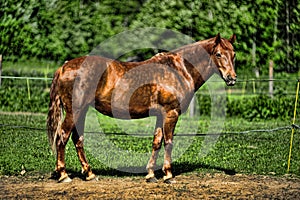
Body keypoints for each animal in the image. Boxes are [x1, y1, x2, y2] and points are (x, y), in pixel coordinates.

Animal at [47, 32, 237, 183]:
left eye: (234, 54)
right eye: (219, 54)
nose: (232, 78)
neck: (179, 69)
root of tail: (64, 66)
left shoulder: (161, 115)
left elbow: (156, 142)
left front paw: (151, 174)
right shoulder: (171, 113)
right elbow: (169, 142)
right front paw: (168, 175)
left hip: (82, 111)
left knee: (77, 139)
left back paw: (89, 174)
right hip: (74, 111)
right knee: (63, 136)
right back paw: (64, 175)